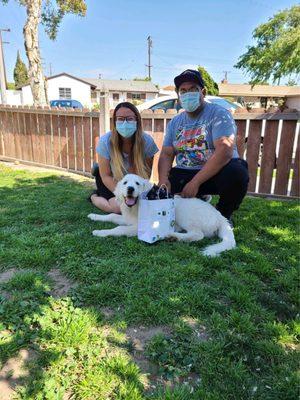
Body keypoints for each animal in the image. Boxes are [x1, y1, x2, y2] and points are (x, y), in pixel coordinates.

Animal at [88, 174, 236, 256]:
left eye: (137, 183)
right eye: (125, 183)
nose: (130, 189)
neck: (136, 207)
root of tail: (220, 217)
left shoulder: (138, 227)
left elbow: (119, 229)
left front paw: (100, 232)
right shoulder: (128, 219)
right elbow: (112, 215)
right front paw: (94, 216)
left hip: (185, 214)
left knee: (197, 235)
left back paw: (172, 236)